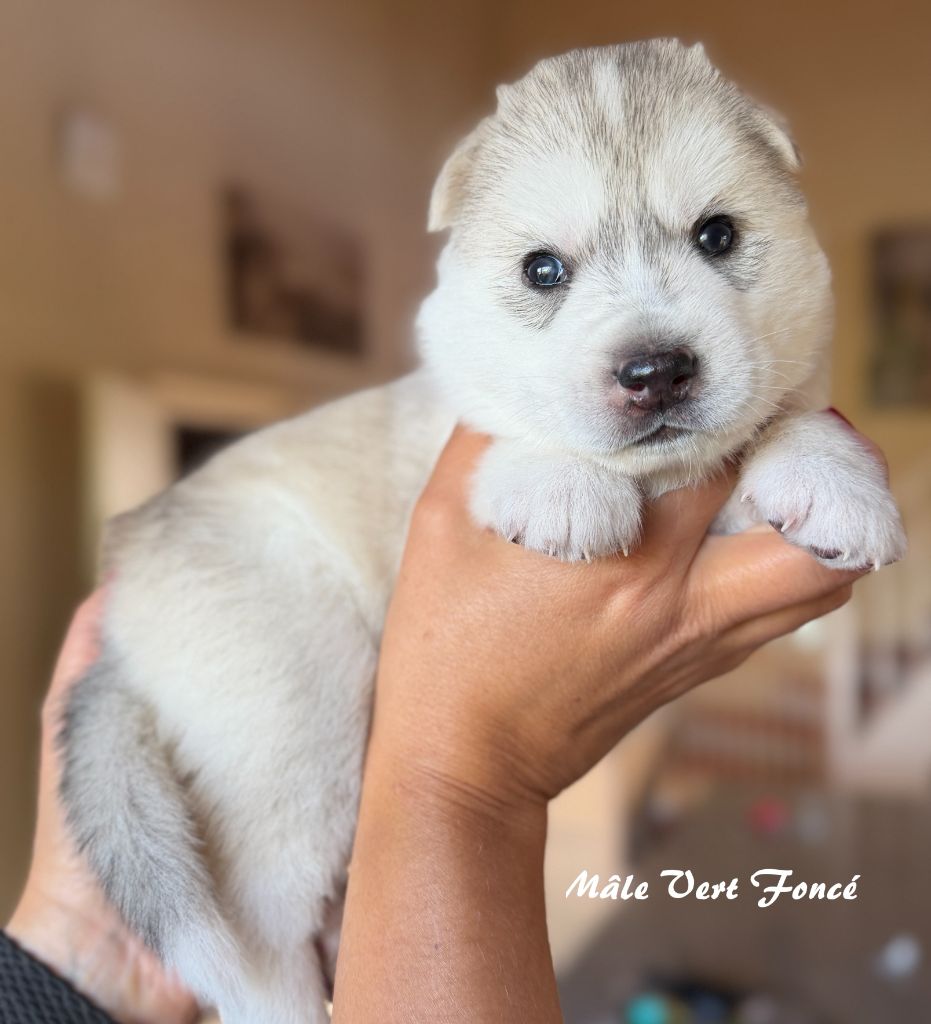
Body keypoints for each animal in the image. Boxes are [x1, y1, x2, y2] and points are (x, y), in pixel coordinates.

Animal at [60, 39, 906, 1023]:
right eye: (542, 270)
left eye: (718, 236)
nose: (654, 371)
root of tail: (121, 621)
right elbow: (513, 430)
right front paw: (561, 487)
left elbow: (782, 419)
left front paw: (828, 475)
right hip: (293, 714)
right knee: (260, 934)